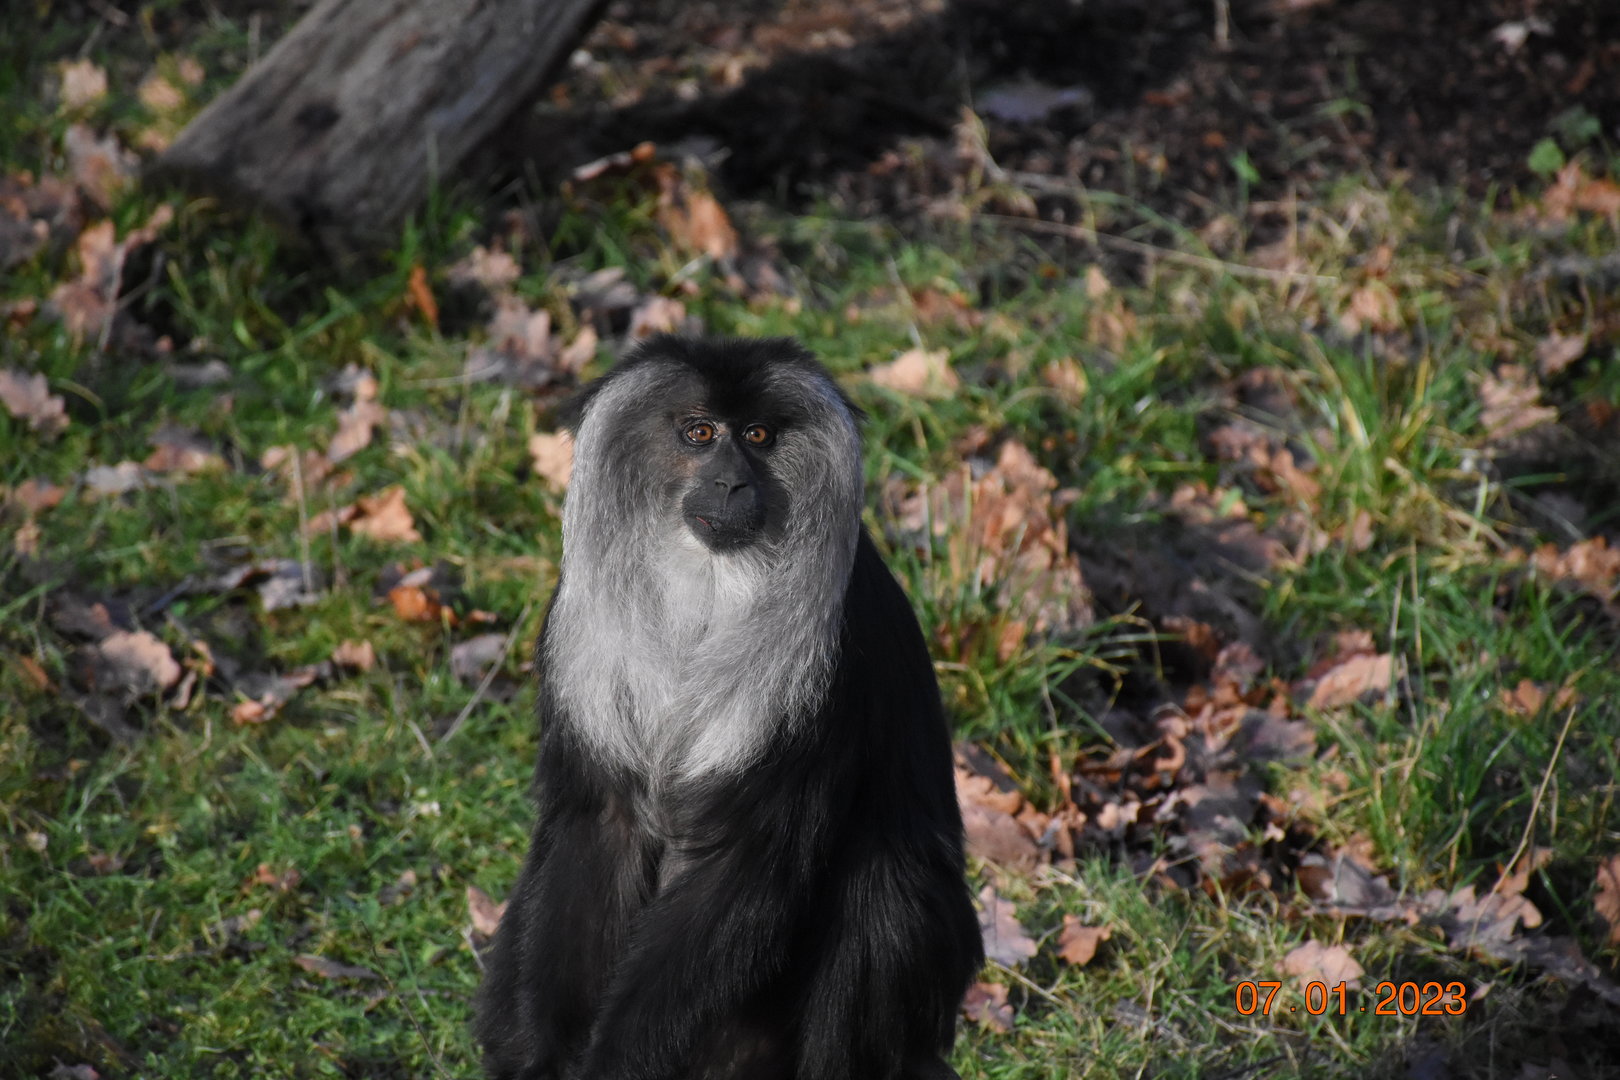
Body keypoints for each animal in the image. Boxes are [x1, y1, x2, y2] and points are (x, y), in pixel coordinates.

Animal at [476, 335, 983, 1080]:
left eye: (758, 437)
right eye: (699, 433)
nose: (731, 484)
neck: (711, 580)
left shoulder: (825, 672)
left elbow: (750, 864)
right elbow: (599, 826)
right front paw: (543, 1060)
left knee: (886, 892)